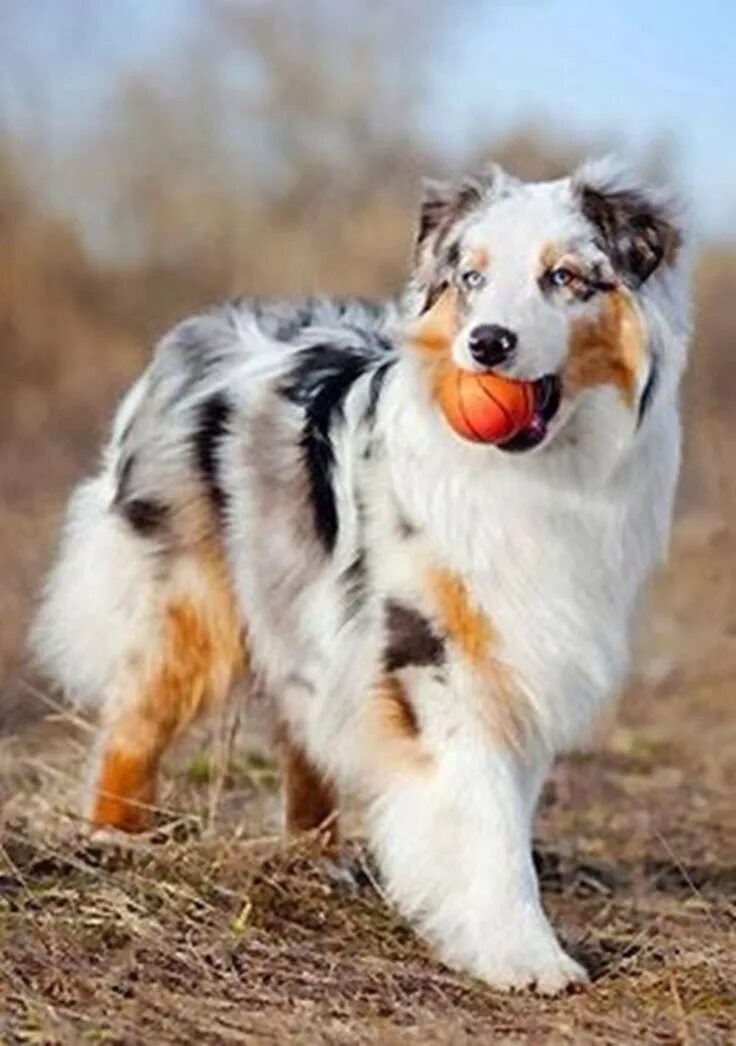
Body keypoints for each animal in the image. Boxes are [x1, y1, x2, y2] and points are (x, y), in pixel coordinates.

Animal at [30, 158, 690, 991]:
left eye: (564, 277)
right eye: (472, 278)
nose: (487, 344)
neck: (537, 475)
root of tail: (199, 331)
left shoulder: (523, 654)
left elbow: (504, 804)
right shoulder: (430, 650)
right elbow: (485, 816)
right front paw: (522, 953)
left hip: (299, 604)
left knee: (299, 726)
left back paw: (318, 857)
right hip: (191, 605)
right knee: (134, 723)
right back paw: (115, 838)